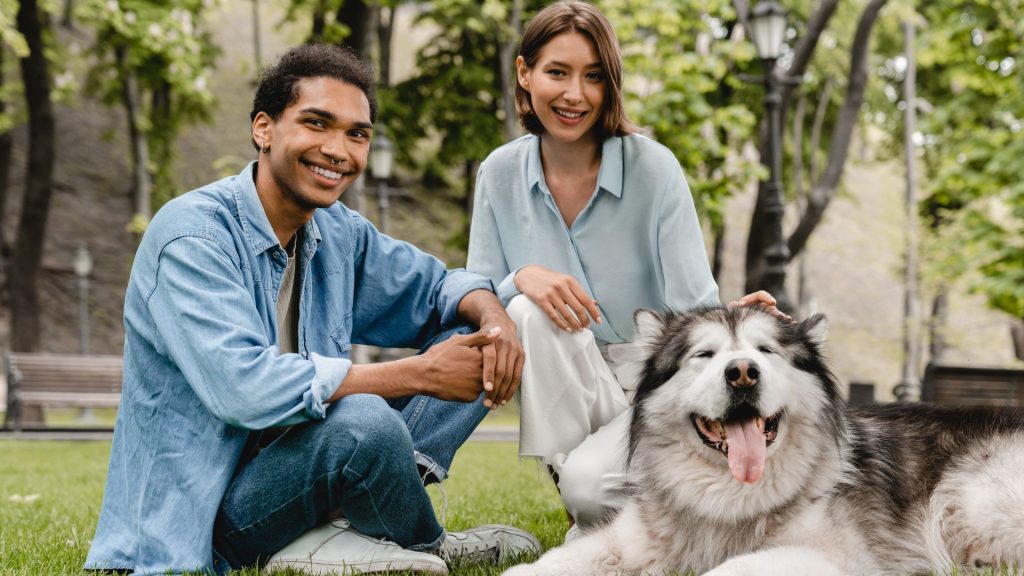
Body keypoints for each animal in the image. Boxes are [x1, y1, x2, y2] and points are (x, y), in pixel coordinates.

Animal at [503, 305, 1024, 573]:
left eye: (766, 351)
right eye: (704, 355)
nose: (742, 372)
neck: (727, 498)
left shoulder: (831, 557)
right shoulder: (627, 538)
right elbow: (546, 564)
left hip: (975, 499)